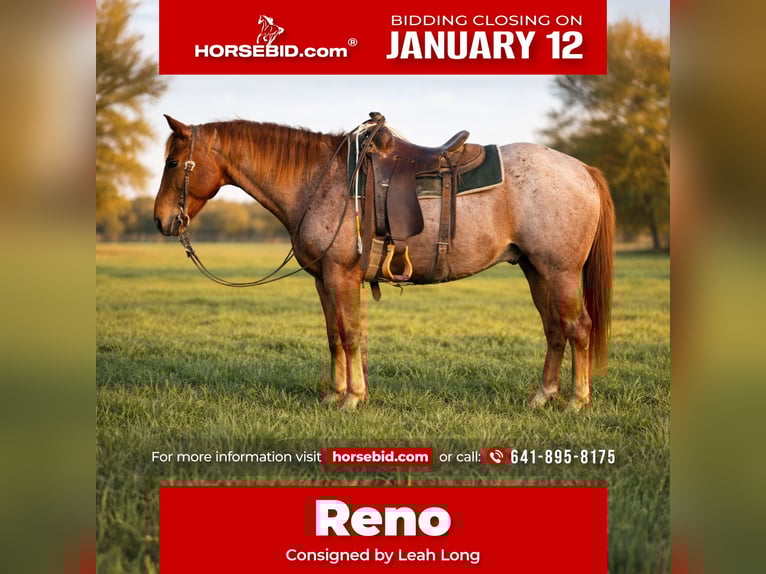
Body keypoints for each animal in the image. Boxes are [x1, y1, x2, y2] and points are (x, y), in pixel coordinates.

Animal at [153, 115, 615, 410]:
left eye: (173, 162)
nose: (160, 220)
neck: (319, 181)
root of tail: (583, 170)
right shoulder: (323, 280)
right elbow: (334, 336)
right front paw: (334, 394)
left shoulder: (341, 275)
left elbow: (351, 334)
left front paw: (353, 398)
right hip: (536, 270)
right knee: (554, 329)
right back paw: (542, 396)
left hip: (560, 272)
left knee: (578, 327)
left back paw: (576, 402)